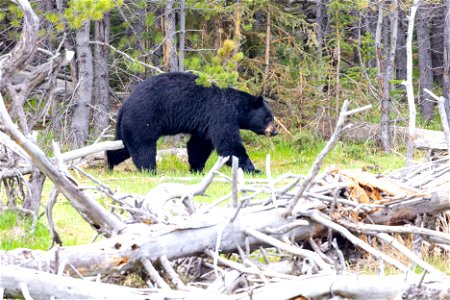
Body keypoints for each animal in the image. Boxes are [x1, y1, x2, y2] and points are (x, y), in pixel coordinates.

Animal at [105, 72, 276, 173]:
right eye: (268, 118)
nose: (275, 131)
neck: (236, 108)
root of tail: (125, 105)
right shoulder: (221, 114)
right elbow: (229, 145)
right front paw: (253, 169)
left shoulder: (206, 123)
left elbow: (199, 145)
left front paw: (196, 168)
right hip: (144, 118)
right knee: (143, 147)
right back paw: (150, 170)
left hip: (128, 124)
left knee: (121, 146)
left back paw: (110, 164)